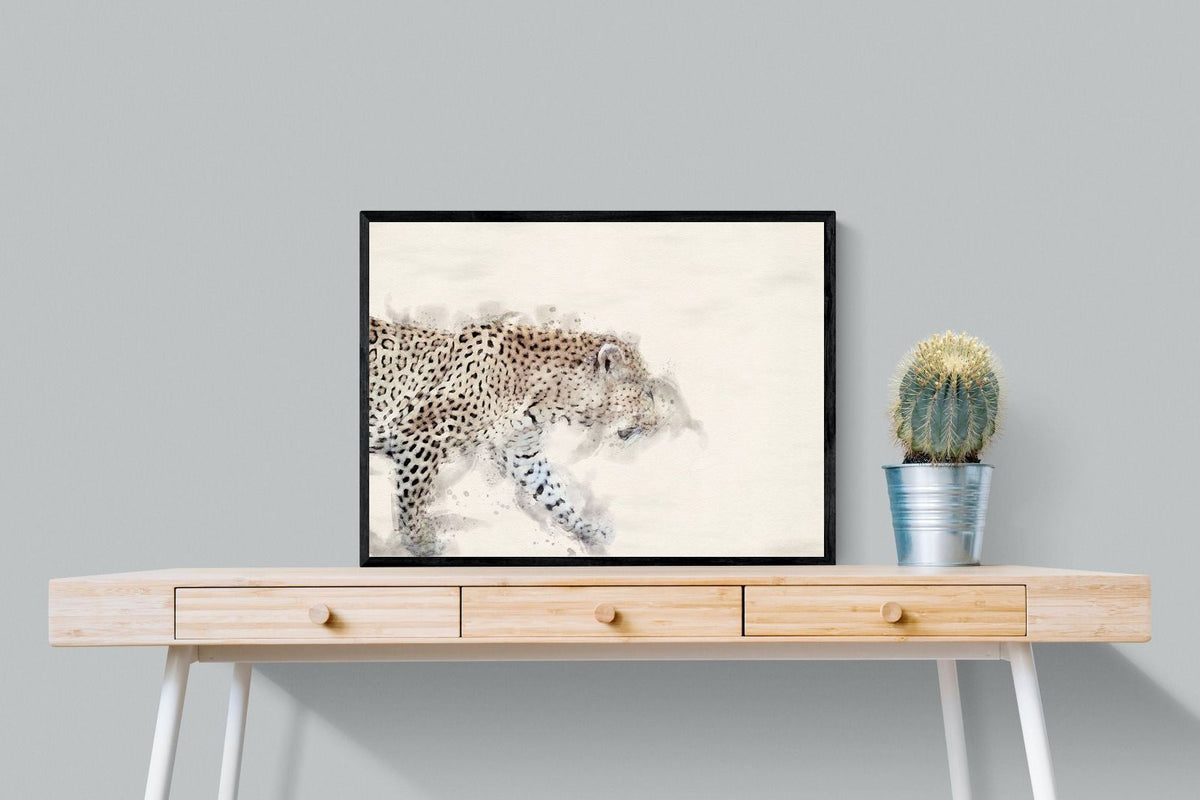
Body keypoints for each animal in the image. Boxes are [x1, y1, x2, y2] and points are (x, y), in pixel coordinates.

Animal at [367, 315, 685, 556]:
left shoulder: (522, 452)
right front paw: (421, 543)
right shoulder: (420, 434)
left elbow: (554, 493)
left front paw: (589, 530)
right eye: (645, 393)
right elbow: (413, 499)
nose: (657, 423)